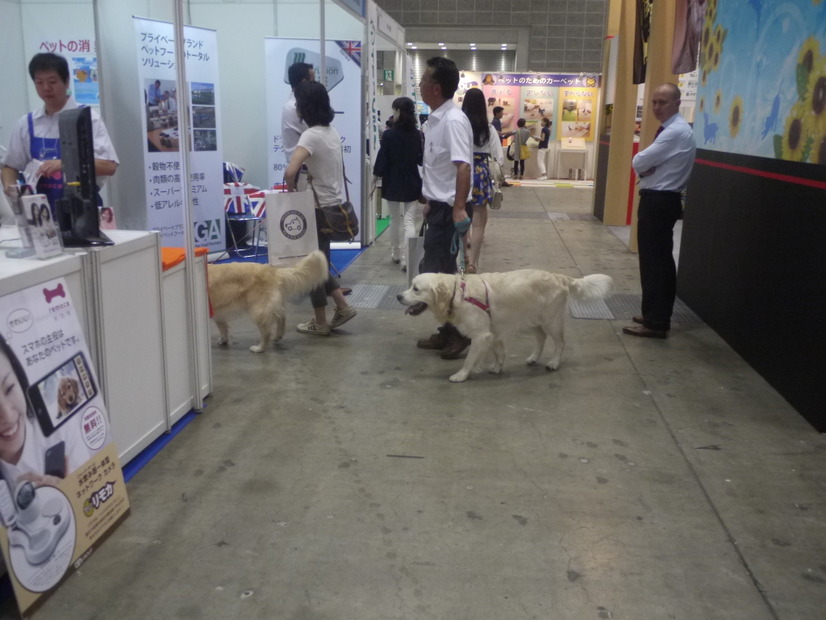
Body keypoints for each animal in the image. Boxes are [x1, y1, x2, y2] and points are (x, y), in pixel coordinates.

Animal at [396, 272, 616, 382]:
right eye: (411, 285)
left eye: (416, 289)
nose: (398, 296)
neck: (458, 293)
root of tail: (560, 276)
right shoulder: (492, 331)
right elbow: (499, 352)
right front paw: (497, 367)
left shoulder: (481, 334)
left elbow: (469, 359)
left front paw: (461, 375)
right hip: (532, 319)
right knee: (541, 338)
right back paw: (533, 358)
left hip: (550, 320)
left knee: (560, 342)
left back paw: (553, 363)